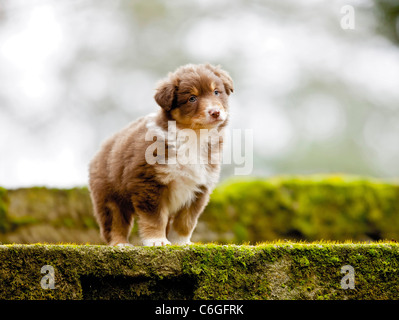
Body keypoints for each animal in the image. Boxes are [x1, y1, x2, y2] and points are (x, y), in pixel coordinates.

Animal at [88, 63, 234, 248]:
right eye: (192, 98)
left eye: (216, 92)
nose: (215, 112)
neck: (194, 136)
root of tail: (103, 147)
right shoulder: (148, 183)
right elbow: (155, 218)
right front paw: (157, 241)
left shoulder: (199, 188)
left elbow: (186, 221)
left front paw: (181, 242)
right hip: (110, 195)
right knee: (114, 222)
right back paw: (120, 244)